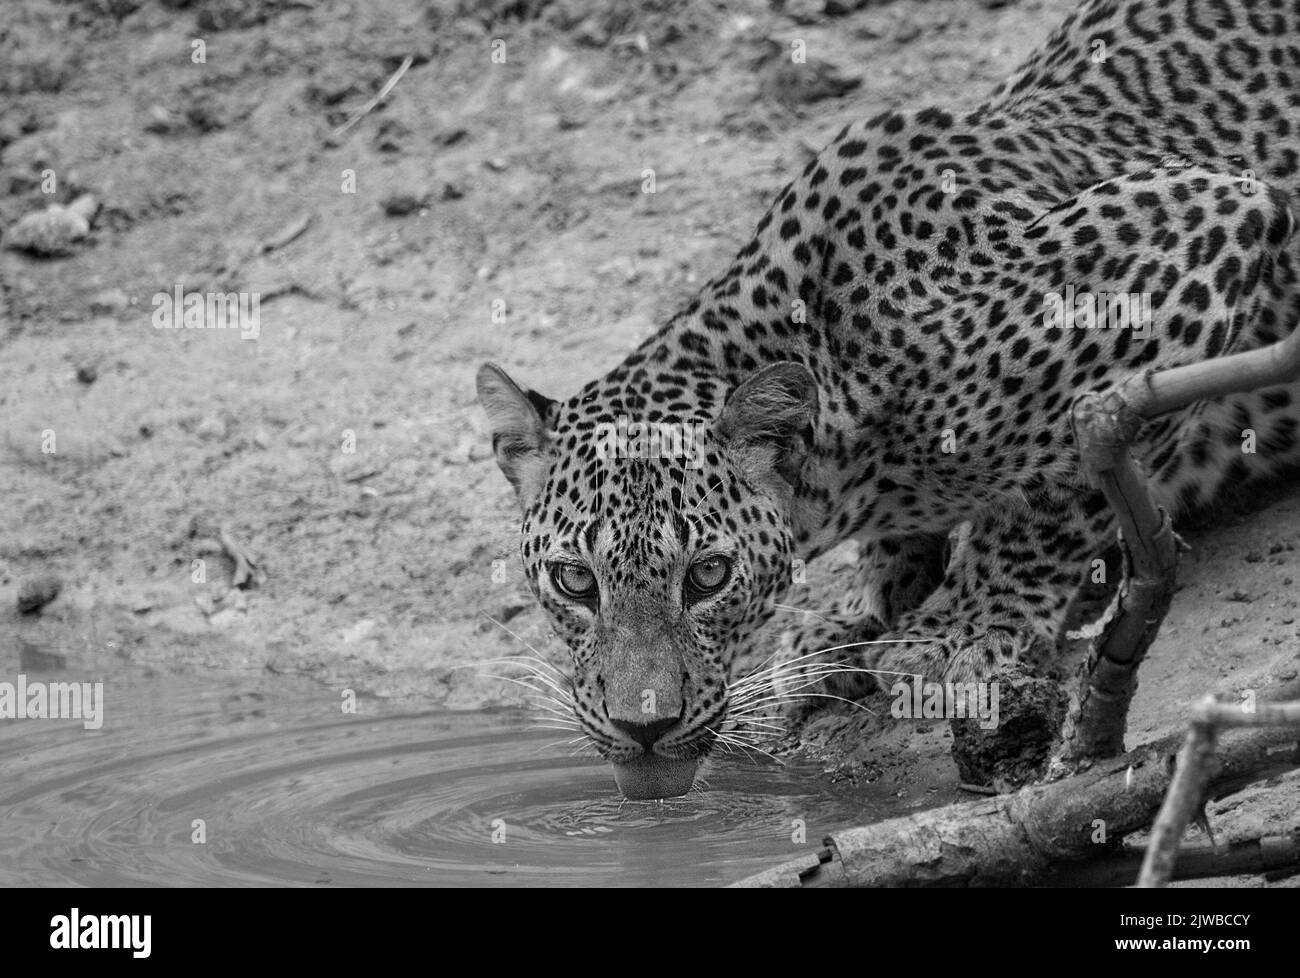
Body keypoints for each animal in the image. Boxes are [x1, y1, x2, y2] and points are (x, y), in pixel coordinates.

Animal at [478, 0, 1300, 795]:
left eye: (708, 576)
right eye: (575, 581)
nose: (643, 727)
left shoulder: (1198, 232)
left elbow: (1062, 493)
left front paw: (961, 625)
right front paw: (862, 615)